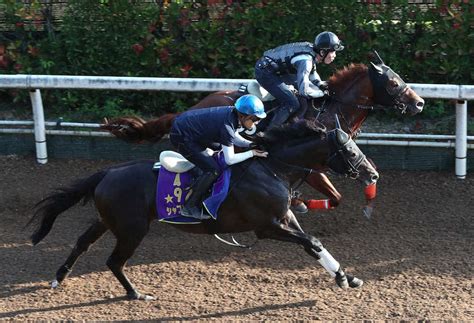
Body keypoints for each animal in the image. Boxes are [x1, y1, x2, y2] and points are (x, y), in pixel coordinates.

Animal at [28, 119, 378, 302]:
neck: (272, 168)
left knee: (83, 242)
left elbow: (313, 245)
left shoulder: (285, 218)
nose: (373, 175)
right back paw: (136, 294)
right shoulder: (267, 227)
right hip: (132, 229)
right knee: (114, 260)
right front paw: (343, 278)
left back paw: (59, 278)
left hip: (108, 220)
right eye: (349, 150)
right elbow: (313, 242)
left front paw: (346, 277)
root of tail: (107, 172)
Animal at [103, 60, 422, 216]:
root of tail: (189, 110)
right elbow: (335, 197)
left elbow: (354, 183)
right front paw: (299, 204)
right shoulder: (314, 167)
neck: (330, 108)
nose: (419, 103)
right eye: (393, 83)